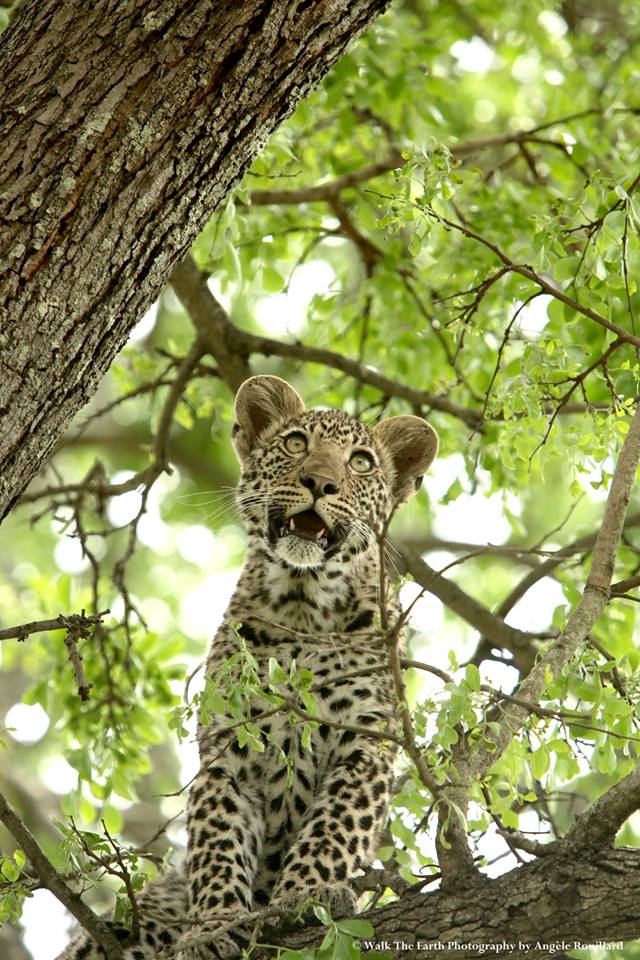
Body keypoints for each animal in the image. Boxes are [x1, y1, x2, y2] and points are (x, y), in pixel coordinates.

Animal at [57, 375, 438, 960]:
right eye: (296, 443)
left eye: (361, 462)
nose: (320, 482)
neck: (304, 602)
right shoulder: (229, 750)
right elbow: (218, 838)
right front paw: (214, 923)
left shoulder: (366, 745)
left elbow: (334, 826)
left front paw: (305, 895)